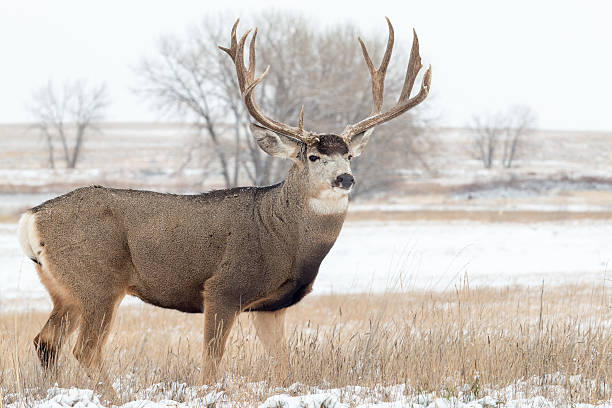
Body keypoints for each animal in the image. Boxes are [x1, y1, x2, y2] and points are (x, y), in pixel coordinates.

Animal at [16, 16, 432, 396]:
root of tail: (31, 218)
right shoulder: (223, 287)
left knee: (45, 342)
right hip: (97, 282)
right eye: (314, 156)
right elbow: (211, 363)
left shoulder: (270, 306)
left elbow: (282, 365)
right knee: (84, 350)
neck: (284, 236)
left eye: (349, 155)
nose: (345, 179)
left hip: (64, 289)